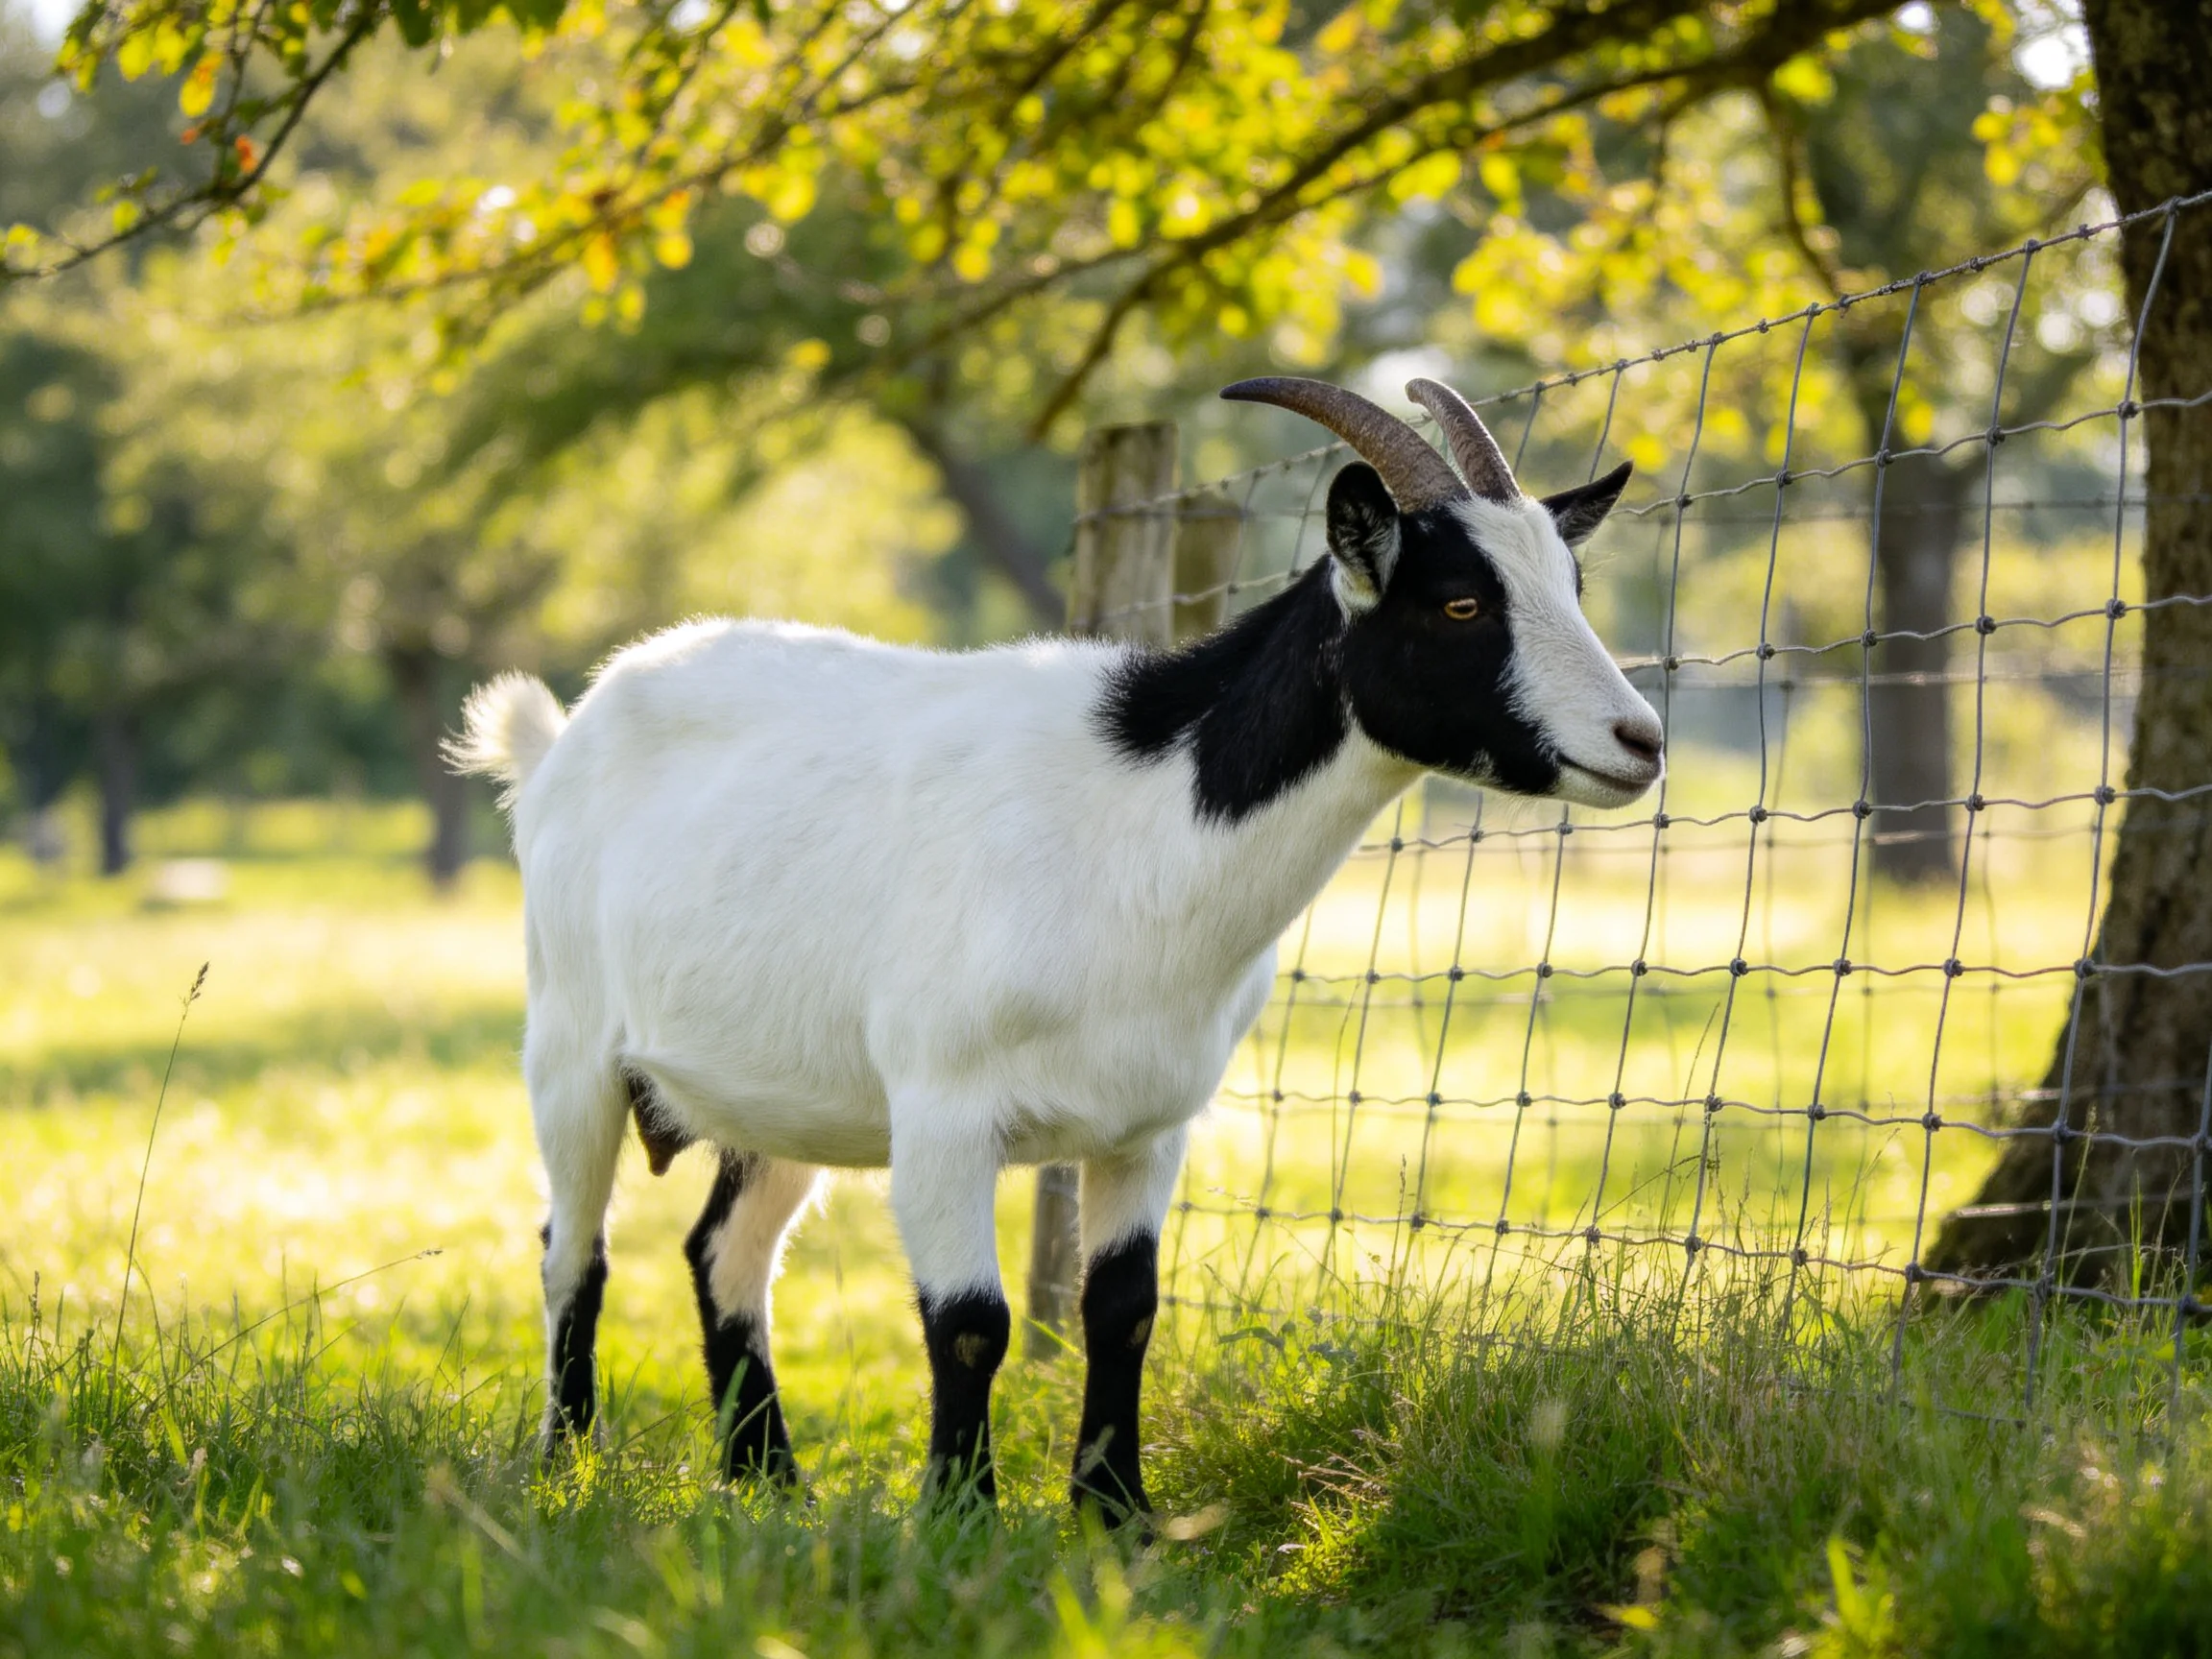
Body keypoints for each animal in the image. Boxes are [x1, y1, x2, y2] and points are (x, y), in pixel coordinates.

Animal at [448, 376, 1664, 1522]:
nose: (1640, 741)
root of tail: (562, 736)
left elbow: (1122, 1311)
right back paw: (568, 1467)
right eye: (1461, 601)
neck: (1138, 821)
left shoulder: (1150, 1124)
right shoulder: (943, 1110)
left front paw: (1119, 1512)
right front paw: (960, 1517)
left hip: (787, 1090)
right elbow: (971, 1323)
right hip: (570, 1042)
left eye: (1572, 586)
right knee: (573, 1249)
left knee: (723, 1254)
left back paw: (769, 1486)